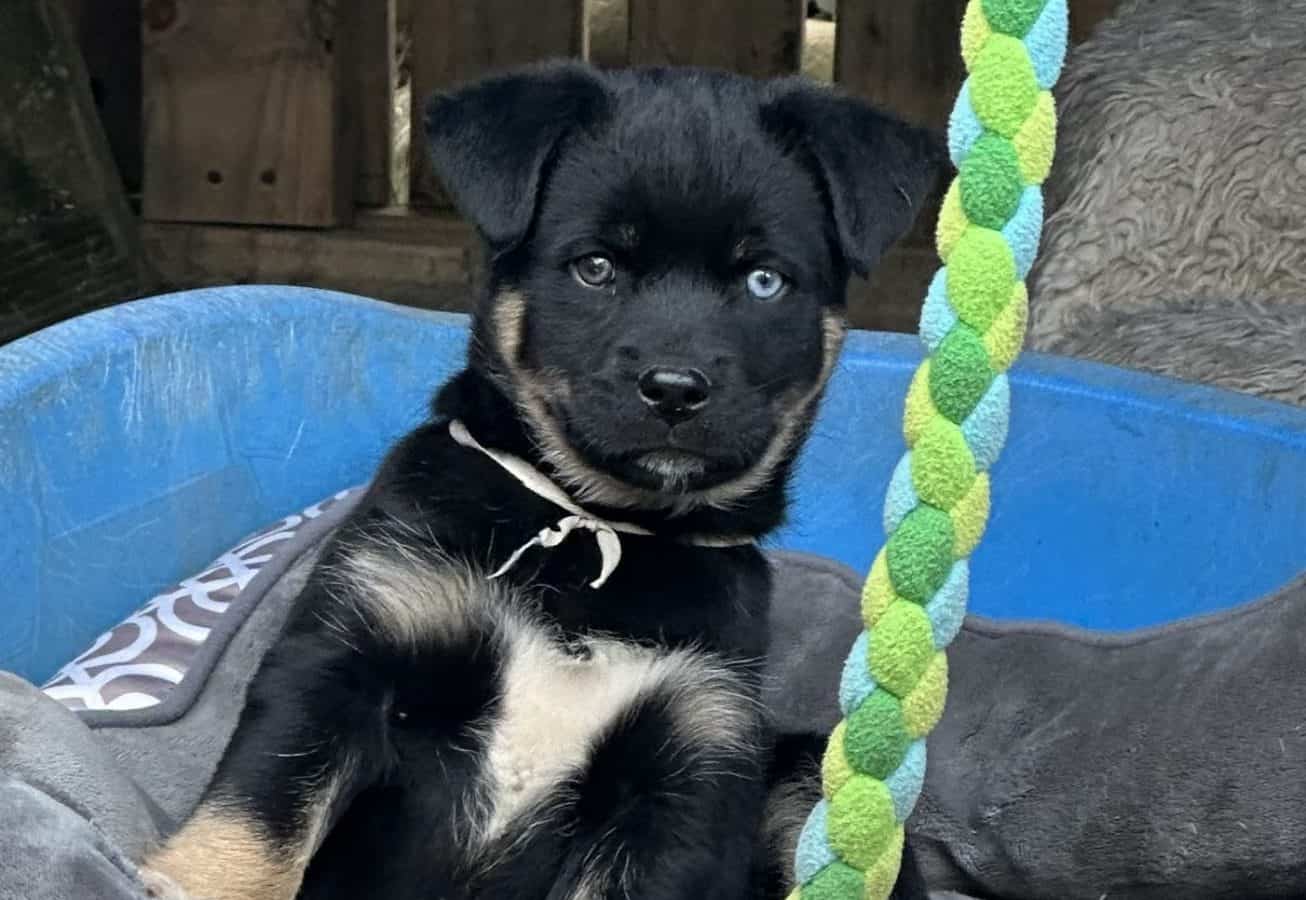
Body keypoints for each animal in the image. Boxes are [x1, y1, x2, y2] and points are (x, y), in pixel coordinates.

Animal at [140, 63, 940, 898]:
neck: (601, 531)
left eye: (763, 281)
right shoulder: (343, 659)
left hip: (804, 770)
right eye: (596, 267)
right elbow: (257, 820)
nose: (675, 389)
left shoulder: (690, 754)